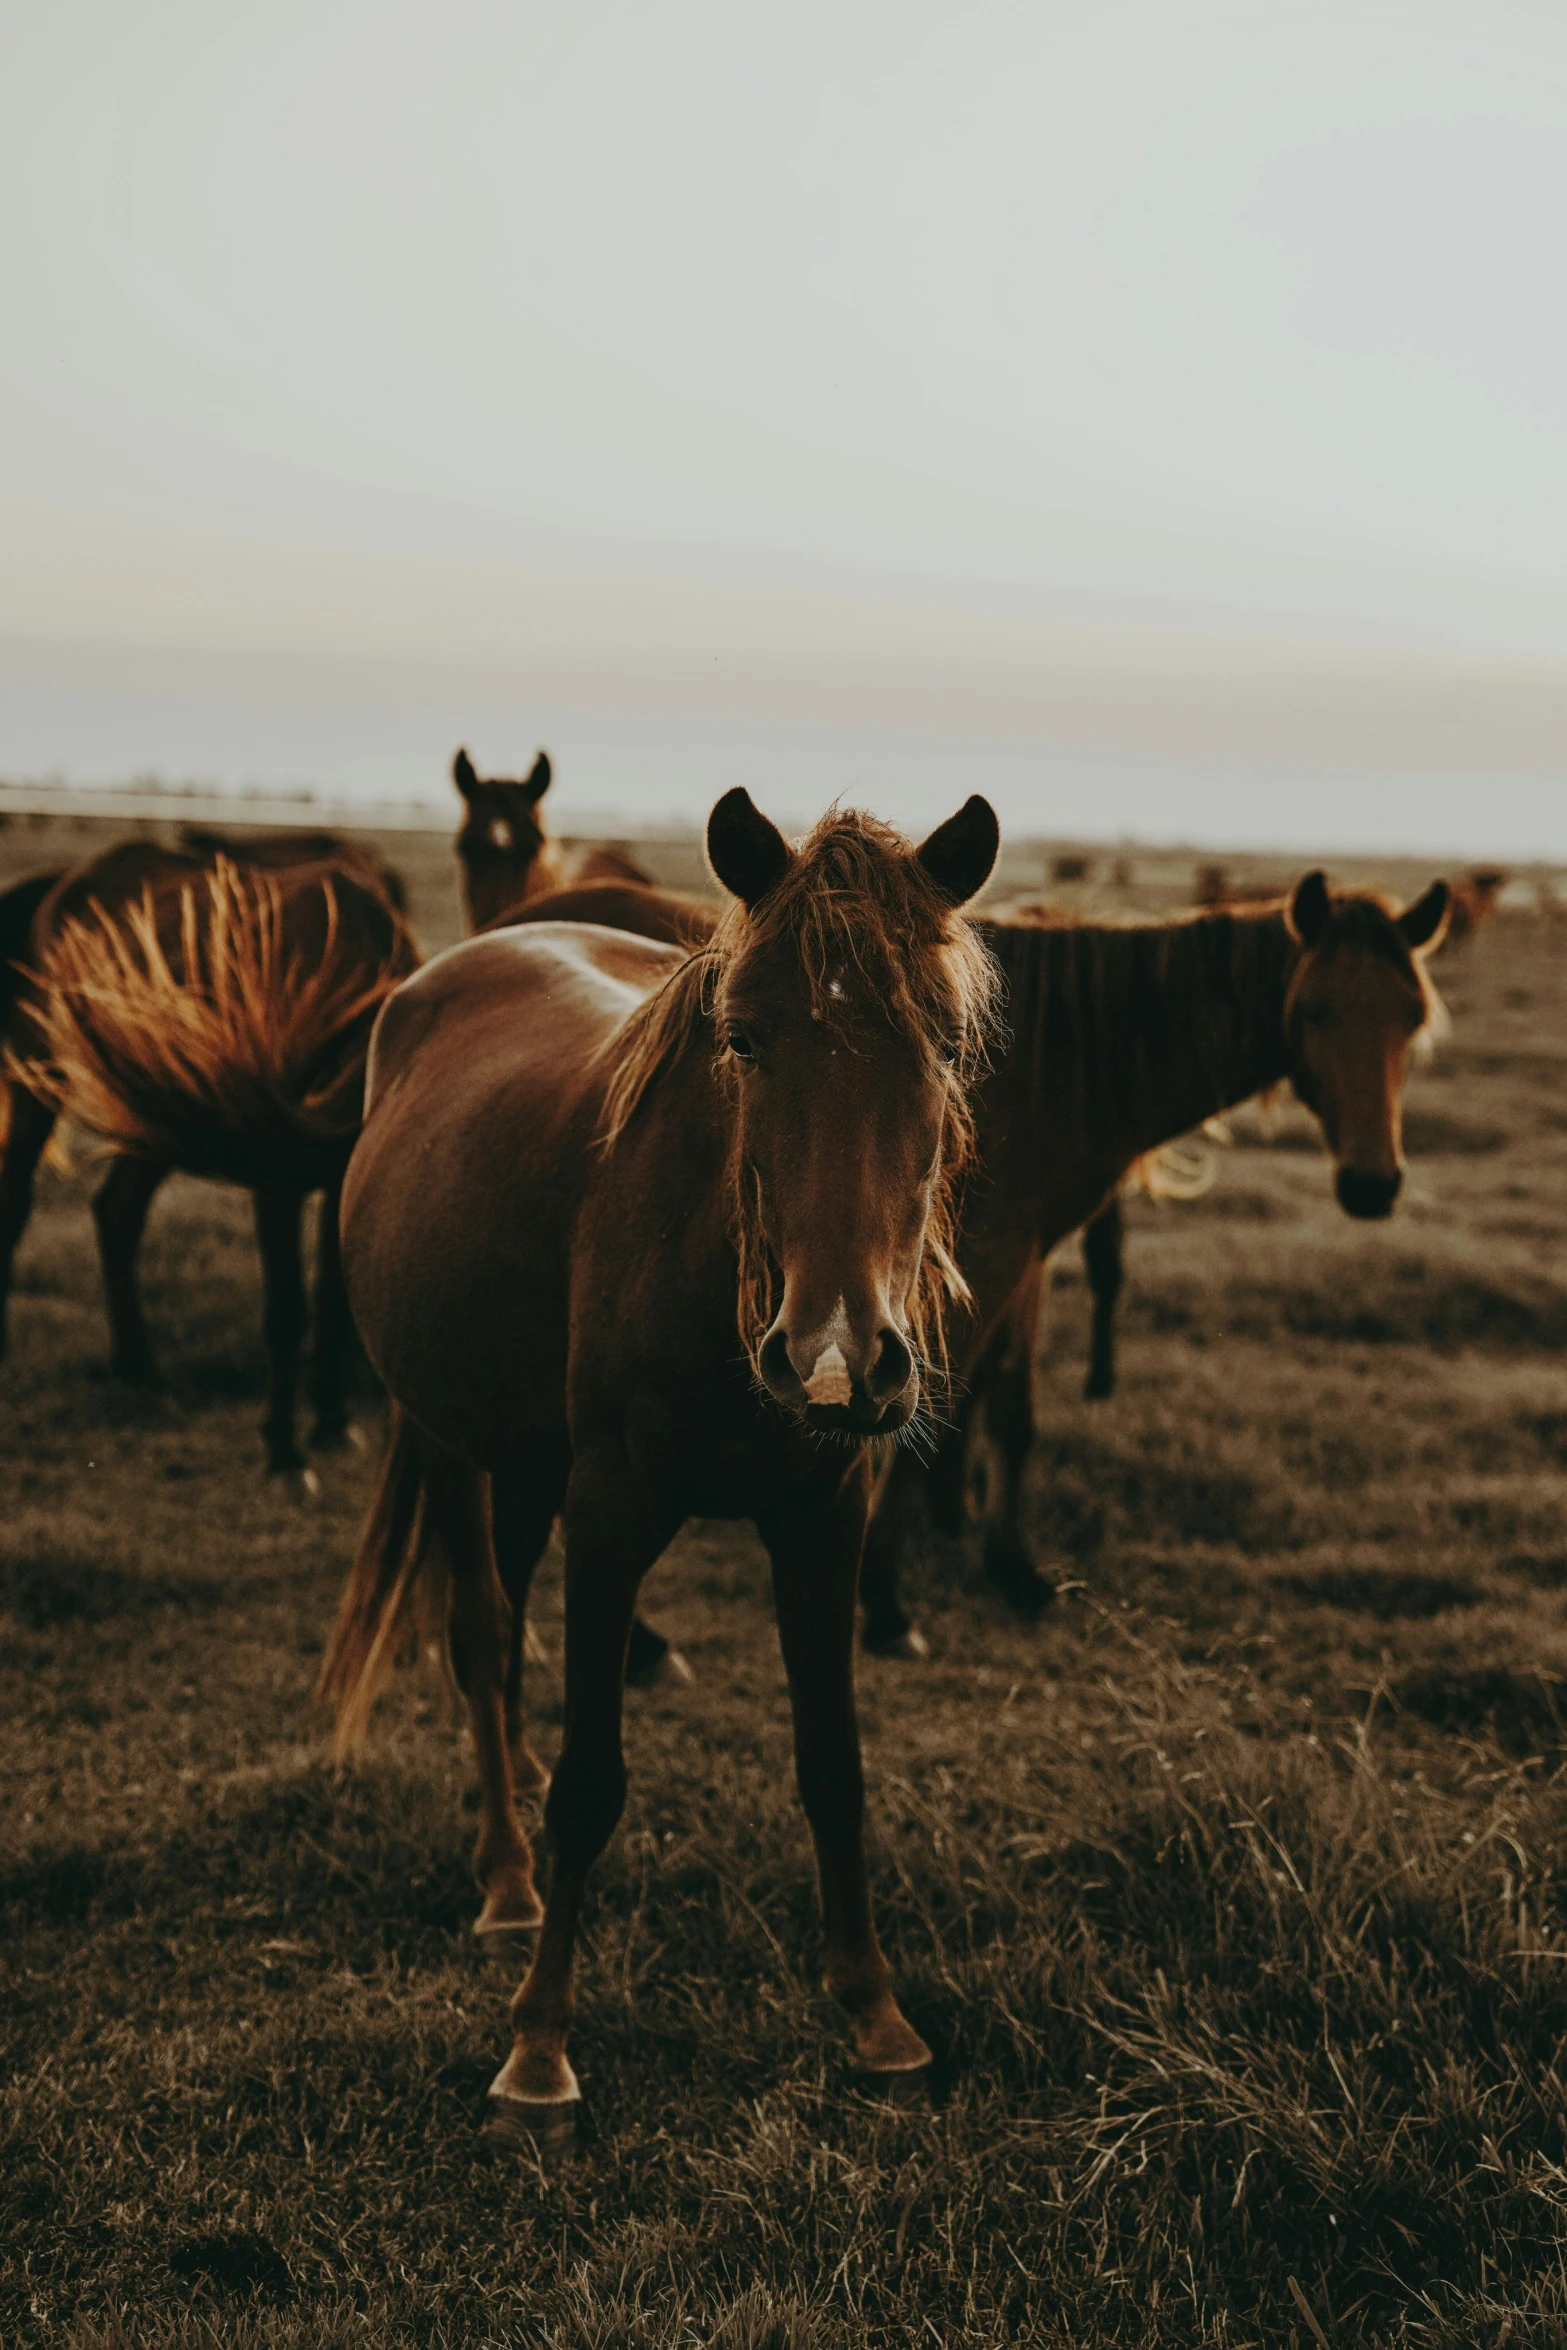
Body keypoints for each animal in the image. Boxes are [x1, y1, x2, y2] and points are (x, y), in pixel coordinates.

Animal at [0, 841, 415, 1466]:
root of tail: (59, 886)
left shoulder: (337, 1177)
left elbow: (333, 1300)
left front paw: (332, 1419)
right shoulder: (277, 1175)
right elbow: (287, 1305)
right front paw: (282, 1442)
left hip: (153, 1114)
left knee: (118, 1210)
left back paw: (135, 1365)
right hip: (41, 1081)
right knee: (17, 1198)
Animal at [324, 789, 1000, 2152]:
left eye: (947, 1046)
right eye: (743, 1040)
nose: (839, 1359)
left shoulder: (824, 1519)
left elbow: (834, 1767)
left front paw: (875, 2016)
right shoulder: (613, 1512)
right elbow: (591, 1783)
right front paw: (537, 2053)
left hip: (524, 1459)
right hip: (449, 1438)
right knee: (483, 1635)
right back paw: (507, 1881)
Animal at [864, 864, 1456, 1654]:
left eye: (1411, 1019)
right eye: (1313, 1011)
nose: (1372, 1184)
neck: (1047, 1064)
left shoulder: (1022, 1252)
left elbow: (1010, 1408)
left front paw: (1009, 1565)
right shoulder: (984, 1253)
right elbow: (929, 1406)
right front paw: (884, 1604)